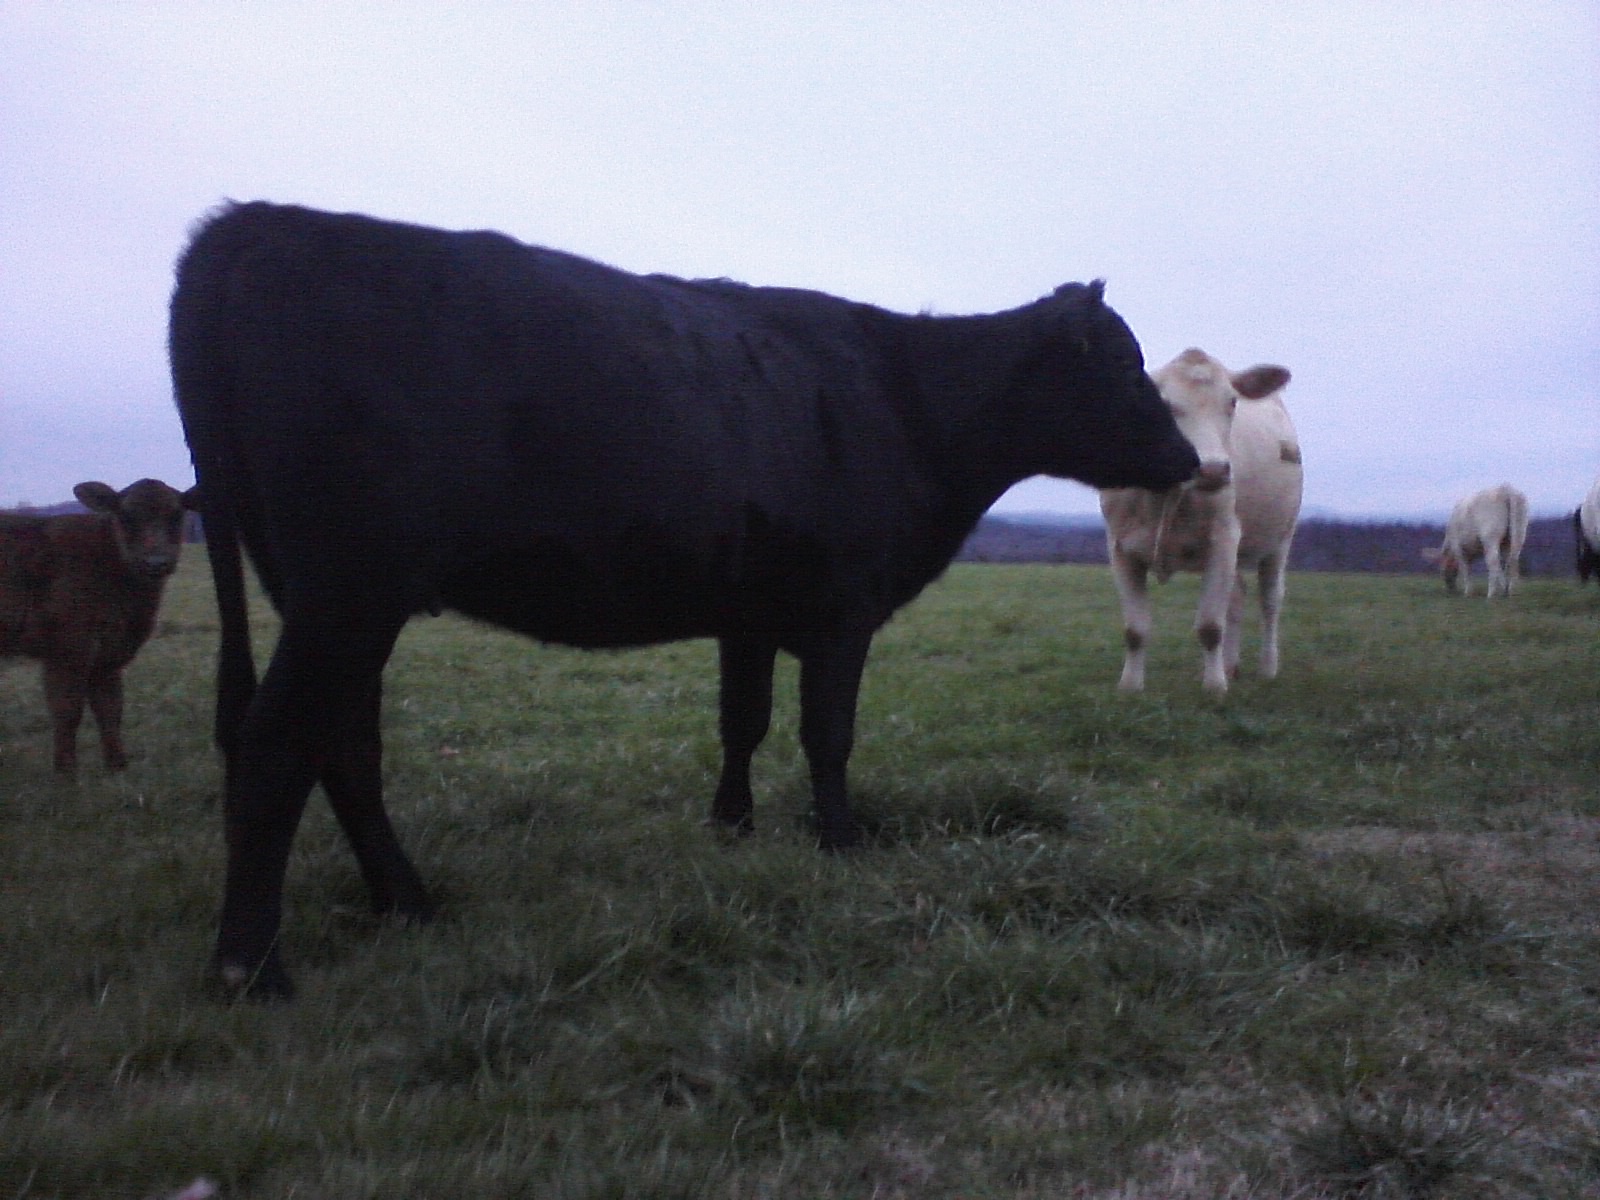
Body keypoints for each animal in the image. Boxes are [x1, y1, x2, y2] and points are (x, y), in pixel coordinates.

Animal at [1, 479, 198, 771]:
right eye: (126, 515)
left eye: (176, 514)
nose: (156, 563)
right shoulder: (68, 648)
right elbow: (67, 711)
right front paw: (66, 773)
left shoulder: (109, 654)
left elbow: (111, 708)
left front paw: (117, 766)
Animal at [170, 200, 1199, 998]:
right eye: (1123, 365)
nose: (1193, 460)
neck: (906, 401)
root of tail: (254, 224)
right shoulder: (842, 609)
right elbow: (827, 733)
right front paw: (842, 843)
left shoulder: (748, 611)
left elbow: (741, 720)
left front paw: (731, 829)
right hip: (349, 592)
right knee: (276, 743)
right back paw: (252, 968)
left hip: (333, 596)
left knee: (341, 746)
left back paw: (409, 906)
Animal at [1099, 348, 1302, 695]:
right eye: (1165, 405)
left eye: (1232, 402)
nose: (1212, 470)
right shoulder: (1120, 547)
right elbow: (1135, 629)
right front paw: (1130, 687)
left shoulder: (1223, 538)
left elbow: (1209, 626)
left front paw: (1214, 687)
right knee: (1237, 597)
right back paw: (1231, 665)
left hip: (1281, 538)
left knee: (1270, 600)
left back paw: (1267, 668)